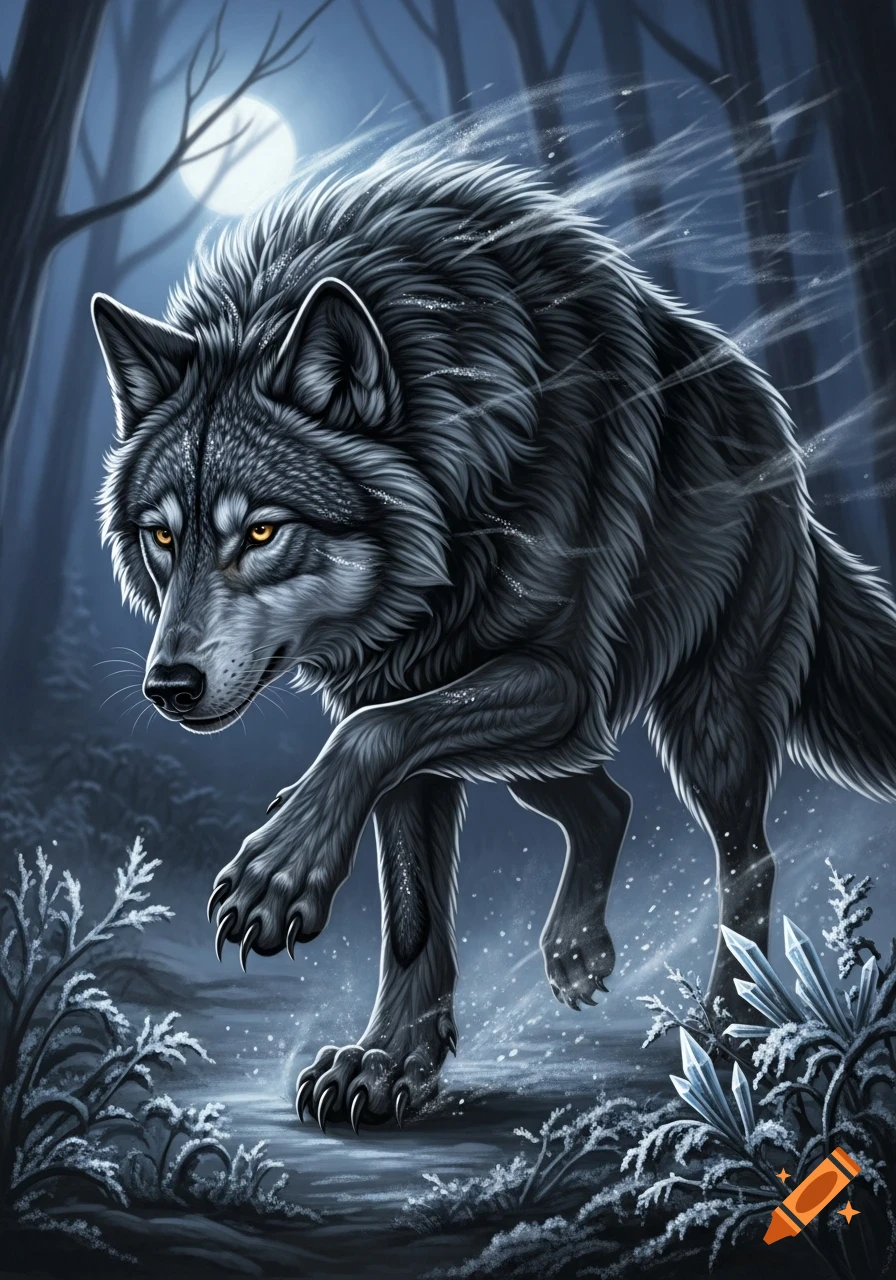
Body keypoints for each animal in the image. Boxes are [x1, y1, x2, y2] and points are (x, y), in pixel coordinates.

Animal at [93, 153, 896, 1133]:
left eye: (262, 531)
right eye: (162, 537)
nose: (168, 686)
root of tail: (784, 446)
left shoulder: (551, 681)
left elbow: (362, 742)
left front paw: (276, 872)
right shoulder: (405, 690)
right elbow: (409, 904)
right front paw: (387, 1064)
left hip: (701, 725)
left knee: (748, 858)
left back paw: (730, 1026)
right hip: (539, 758)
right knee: (607, 802)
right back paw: (578, 951)